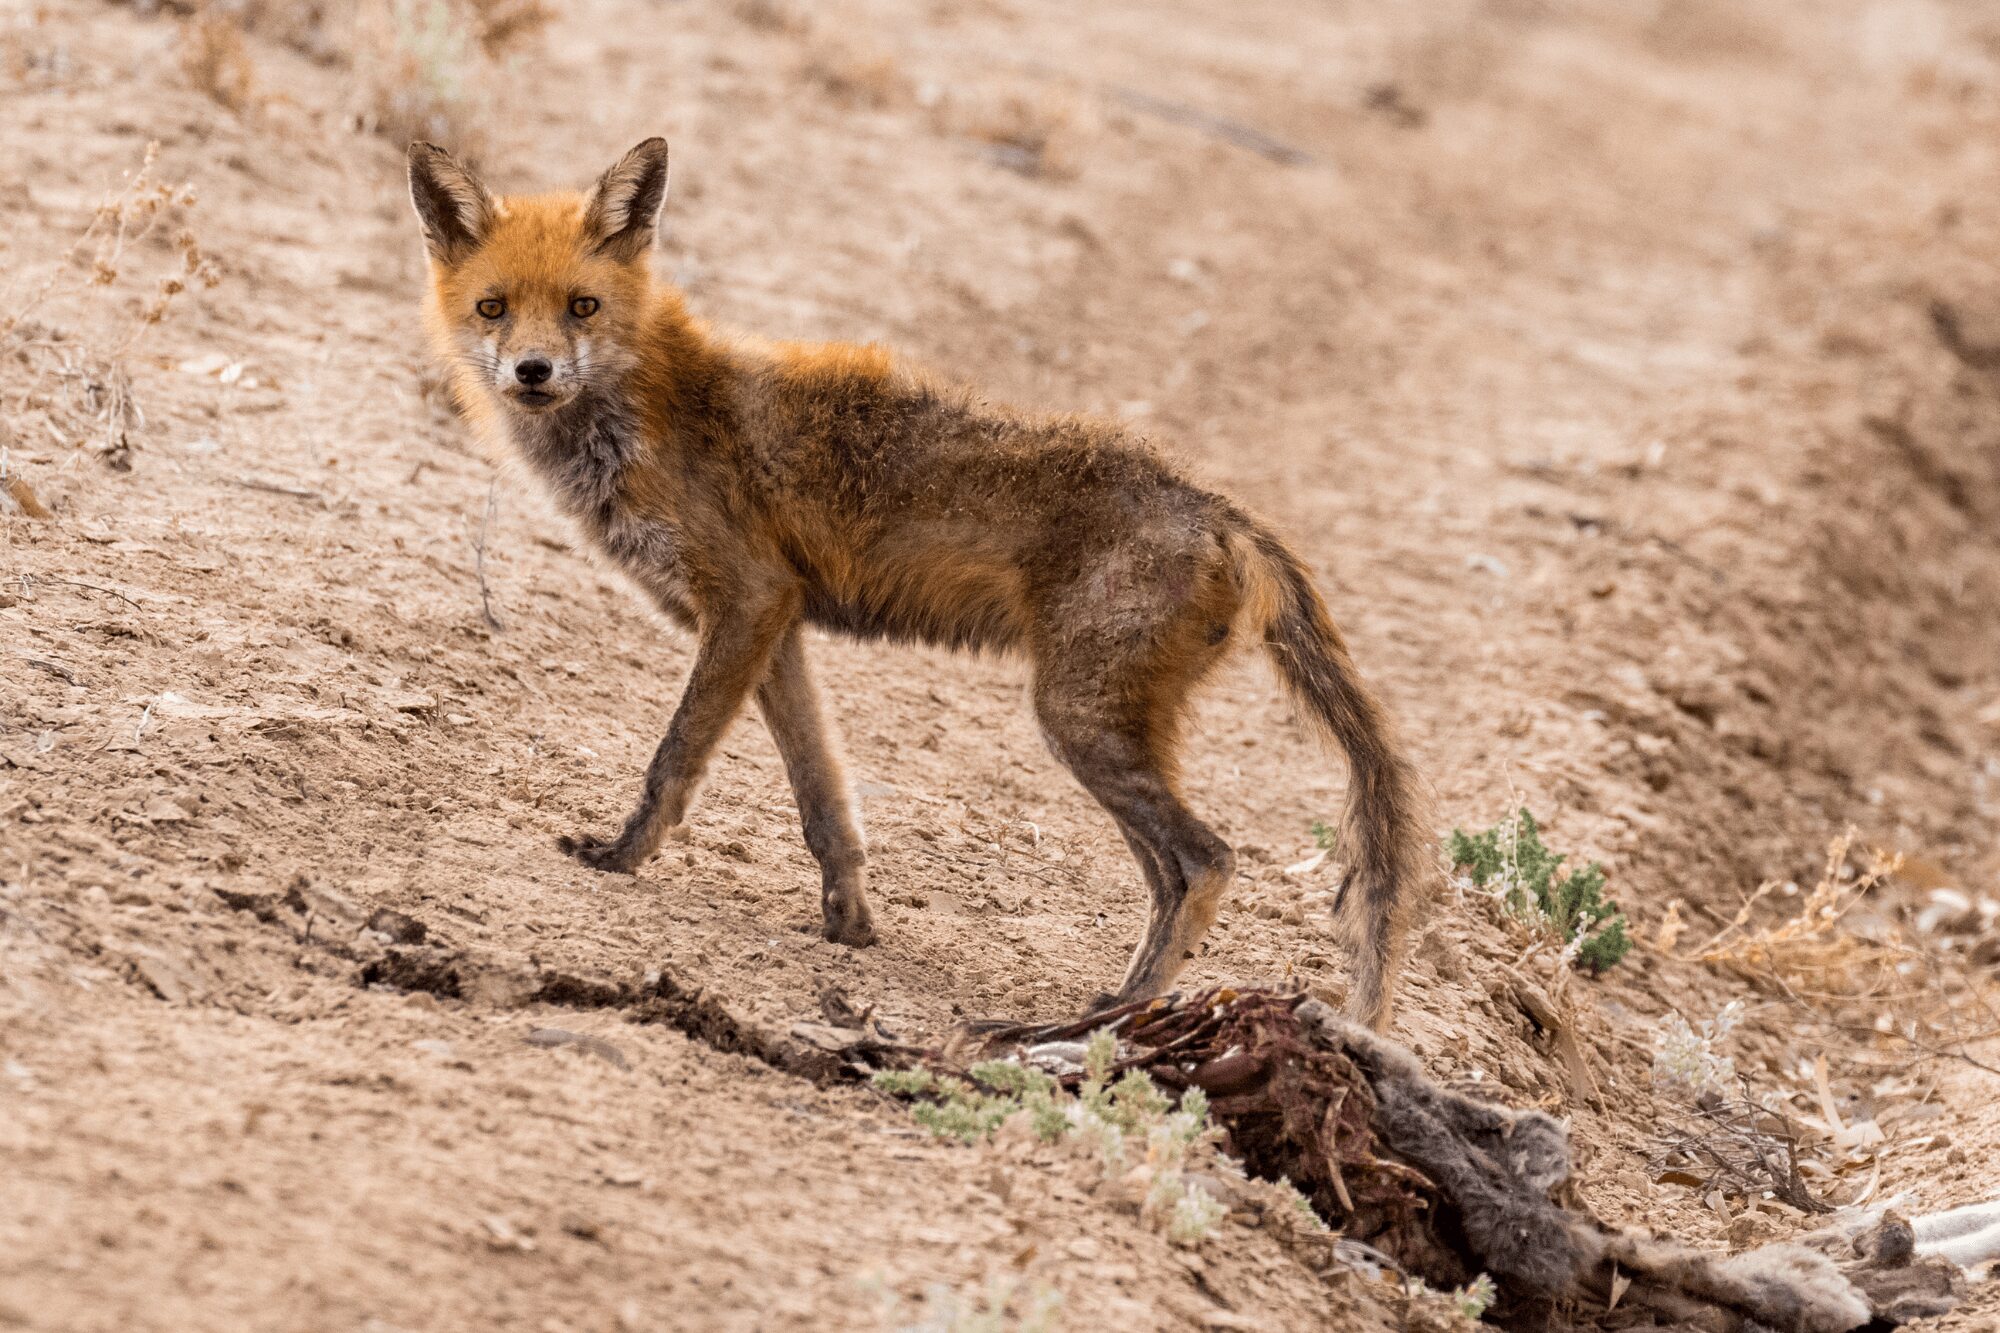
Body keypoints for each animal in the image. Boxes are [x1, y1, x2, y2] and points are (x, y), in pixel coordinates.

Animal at [408, 136, 1428, 1028]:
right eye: (495, 308)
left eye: (581, 307)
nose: (533, 371)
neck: (645, 410)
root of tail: (1221, 509)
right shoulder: (775, 625)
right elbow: (824, 797)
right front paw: (850, 924)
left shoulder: (744, 600)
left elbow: (674, 760)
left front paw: (620, 858)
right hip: (1099, 726)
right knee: (1176, 870)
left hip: (1078, 719)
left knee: (1206, 860)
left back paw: (1112, 1015)